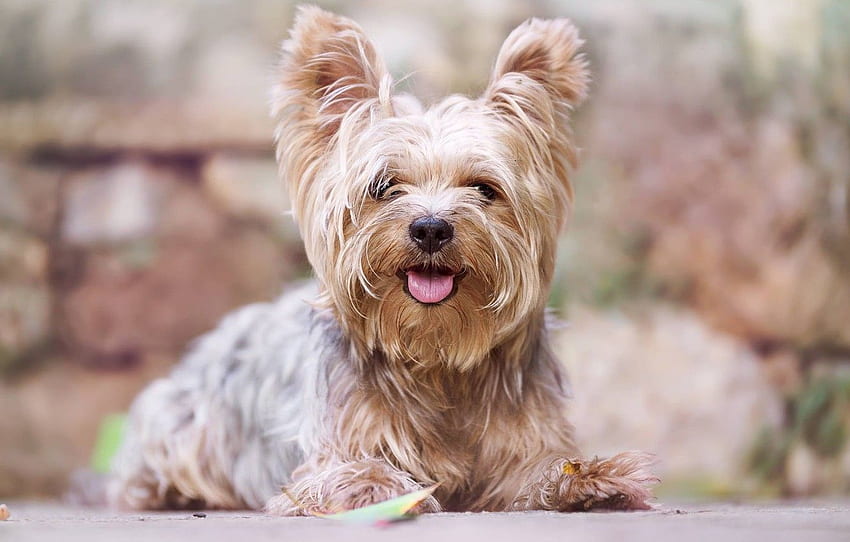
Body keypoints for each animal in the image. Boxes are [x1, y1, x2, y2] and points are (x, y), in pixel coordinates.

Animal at [107, 5, 656, 516]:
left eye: (484, 188)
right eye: (384, 186)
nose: (431, 227)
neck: (435, 354)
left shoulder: (522, 441)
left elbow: (542, 467)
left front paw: (590, 478)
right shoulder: (333, 446)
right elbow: (347, 470)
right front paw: (374, 485)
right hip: (178, 424)